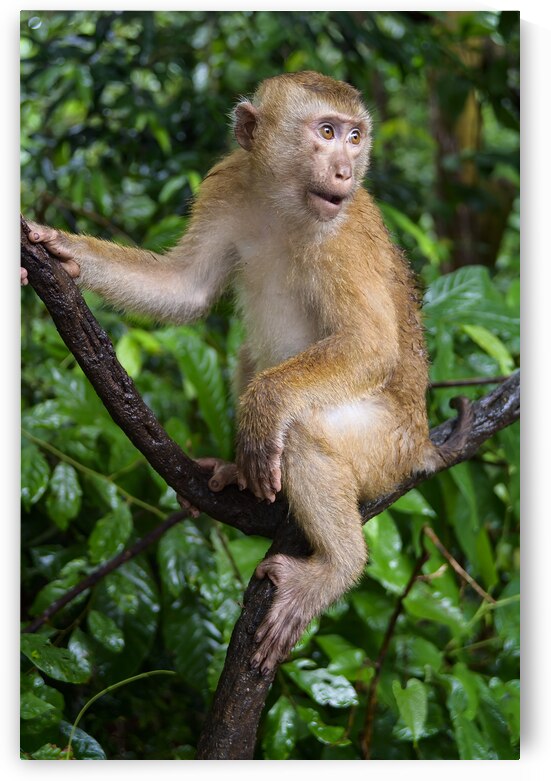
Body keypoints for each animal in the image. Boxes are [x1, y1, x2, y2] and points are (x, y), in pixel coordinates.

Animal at [25, 71, 471, 675]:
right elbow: (185, 288)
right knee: (247, 357)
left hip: (387, 449)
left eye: (355, 136)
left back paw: (336, 566)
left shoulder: (344, 235)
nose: (345, 171)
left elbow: (371, 345)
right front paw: (62, 249)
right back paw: (240, 472)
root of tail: (422, 442)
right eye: (326, 132)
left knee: (304, 430)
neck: (286, 203)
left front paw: (262, 413)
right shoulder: (230, 183)